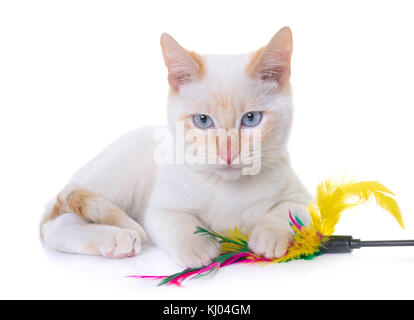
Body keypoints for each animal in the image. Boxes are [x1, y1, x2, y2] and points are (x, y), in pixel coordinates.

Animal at [40, 26, 310, 268]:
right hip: (118, 180)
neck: (229, 187)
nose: (227, 153)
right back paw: (116, 239)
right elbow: (177, 221)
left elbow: (289, 210)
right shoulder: (160, 207)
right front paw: (196, 247)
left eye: (251, 119)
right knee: (54, 224)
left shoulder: (302, 198)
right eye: (202, 121)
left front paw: (269, 235)